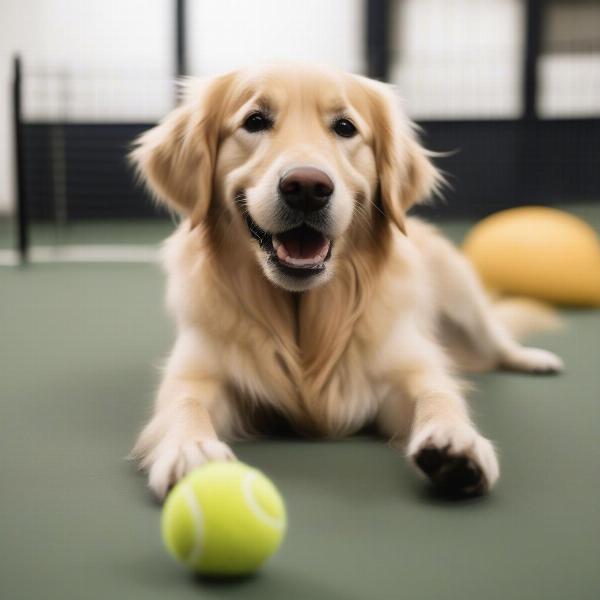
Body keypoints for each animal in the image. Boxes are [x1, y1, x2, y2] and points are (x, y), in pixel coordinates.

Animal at [130, 63, 564, 500]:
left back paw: (533, 359)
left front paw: (456, 440)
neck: (304, 319)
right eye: (254, 121)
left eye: (344, 127)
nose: (307, 187)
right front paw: (191, 448)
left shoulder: (407, 367)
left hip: (462, 293)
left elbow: (438, 393)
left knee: (497, 340)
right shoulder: (198, 372)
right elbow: (185, 404)